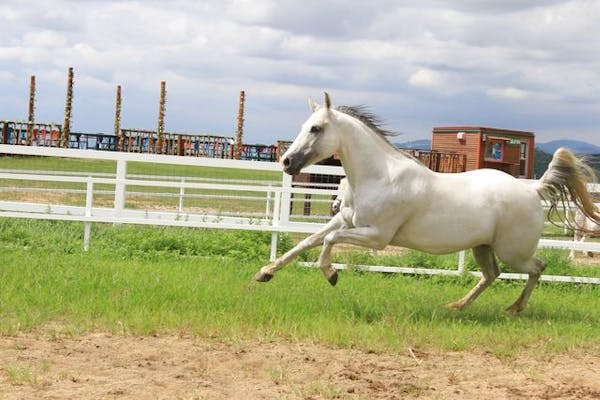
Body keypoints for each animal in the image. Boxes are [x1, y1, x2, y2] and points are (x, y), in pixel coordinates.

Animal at [254, 94, 600, 312]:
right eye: (303, 126)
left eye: (316, 128)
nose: (287, 162)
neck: (379, 176)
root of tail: (533, 191)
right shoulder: (345, 220)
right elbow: (307, 242)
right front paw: (265, 273)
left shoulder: (376, 236)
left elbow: (327, 242)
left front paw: (331, 275)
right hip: (483, 247)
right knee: (492, 275)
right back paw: (458, 306)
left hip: (512, 251)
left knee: (536, 268)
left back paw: (514, 308)